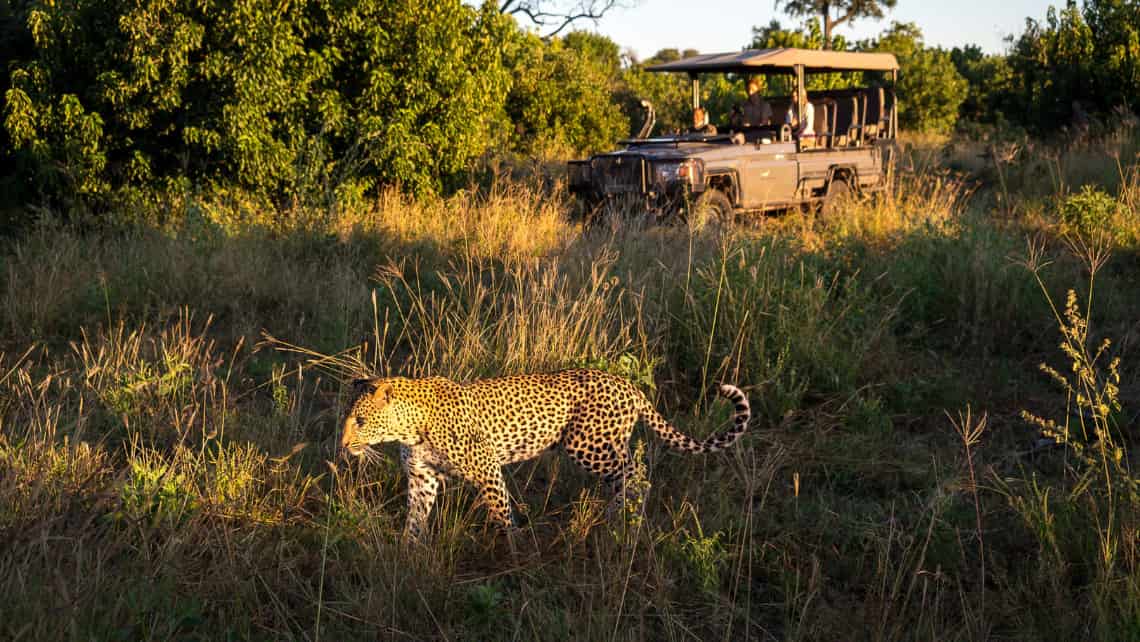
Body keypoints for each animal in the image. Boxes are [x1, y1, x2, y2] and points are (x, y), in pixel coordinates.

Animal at [337, 369, 747, 540]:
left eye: (360, 421)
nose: (342, 446)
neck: (409, 426)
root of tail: (628, 384)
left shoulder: (487, 469)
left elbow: (503, 515)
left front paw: (518, 554)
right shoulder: (423, 477)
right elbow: (415, 518)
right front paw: (408, 553)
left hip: (588, 445)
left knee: (637, 476)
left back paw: (621, 523)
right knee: (626, 478)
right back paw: (614, 519)